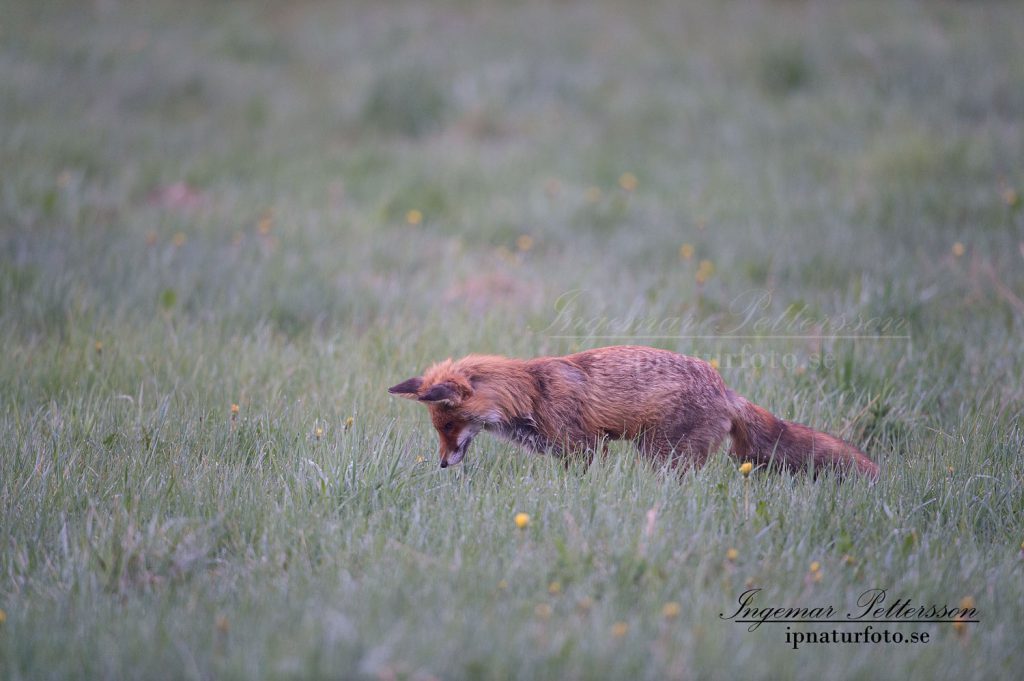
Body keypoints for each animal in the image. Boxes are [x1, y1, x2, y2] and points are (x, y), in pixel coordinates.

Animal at [387, 346, 876, 477]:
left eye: (450, 425)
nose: (443, 464)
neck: (530, 395)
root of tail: (724, 388)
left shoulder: (585, 447)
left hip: (663, 455)